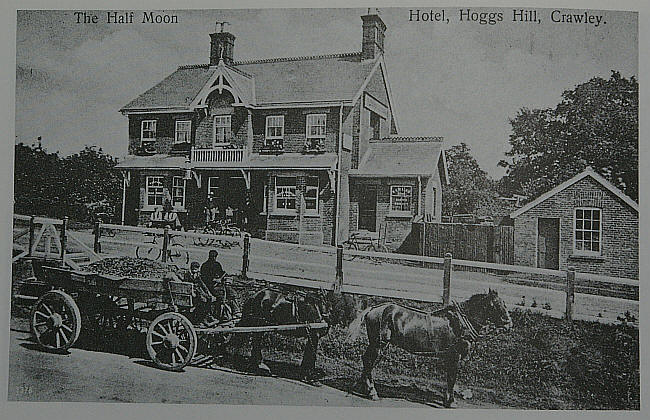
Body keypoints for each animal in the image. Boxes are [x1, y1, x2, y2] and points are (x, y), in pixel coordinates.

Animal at [344, 288, 512, 406]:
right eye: (496, 305)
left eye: (504, 304)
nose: (509, 324)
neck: (460, 323)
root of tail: (375, 308)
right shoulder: (454, 356)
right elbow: (452, 378)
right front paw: (450, 401)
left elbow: (449, 378)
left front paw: (448, 399)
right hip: (379, 344)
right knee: (369, 361)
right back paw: (371, 391)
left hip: (378, 344)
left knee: (367, 361)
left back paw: (362, 386)